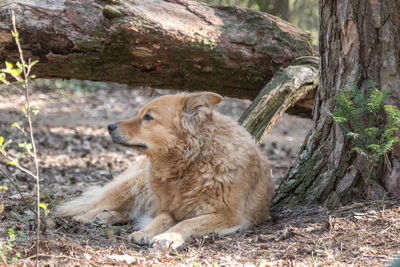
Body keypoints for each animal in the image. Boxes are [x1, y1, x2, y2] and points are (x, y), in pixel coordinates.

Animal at [55, 92, 276, 251]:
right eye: (140, 113)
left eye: (148, 117)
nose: (110, 126)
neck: (193, 161)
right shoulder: (170, 209)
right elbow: (162, 219)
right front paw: (146, 232)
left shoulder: (228, 215)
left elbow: (186, 224)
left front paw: (166, 238)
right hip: (134, 185)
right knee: (93, 206)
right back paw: (90, 217)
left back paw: (106, 217)